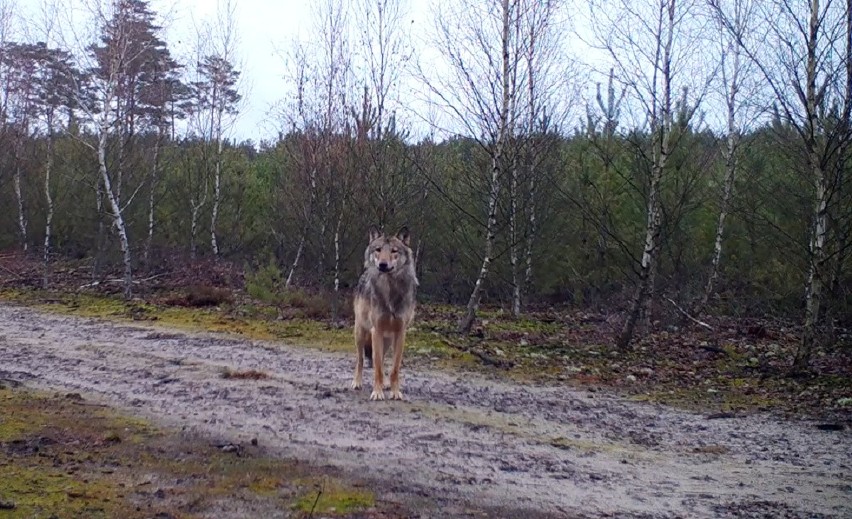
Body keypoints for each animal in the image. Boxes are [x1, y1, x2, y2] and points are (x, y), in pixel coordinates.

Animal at [348, 225, 418, 400]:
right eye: (378, 249)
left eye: (394, 251)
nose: (383, 264)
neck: (390, 289)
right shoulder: (376, 330)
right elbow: (377, 366)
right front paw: (377, 393)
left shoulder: (401, 333)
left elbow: (394, 368)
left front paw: (395, 392)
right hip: (361, 333)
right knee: (361, 360)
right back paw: (357, 383)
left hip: (387, 340)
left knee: (381, 358)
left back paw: (385, 383)